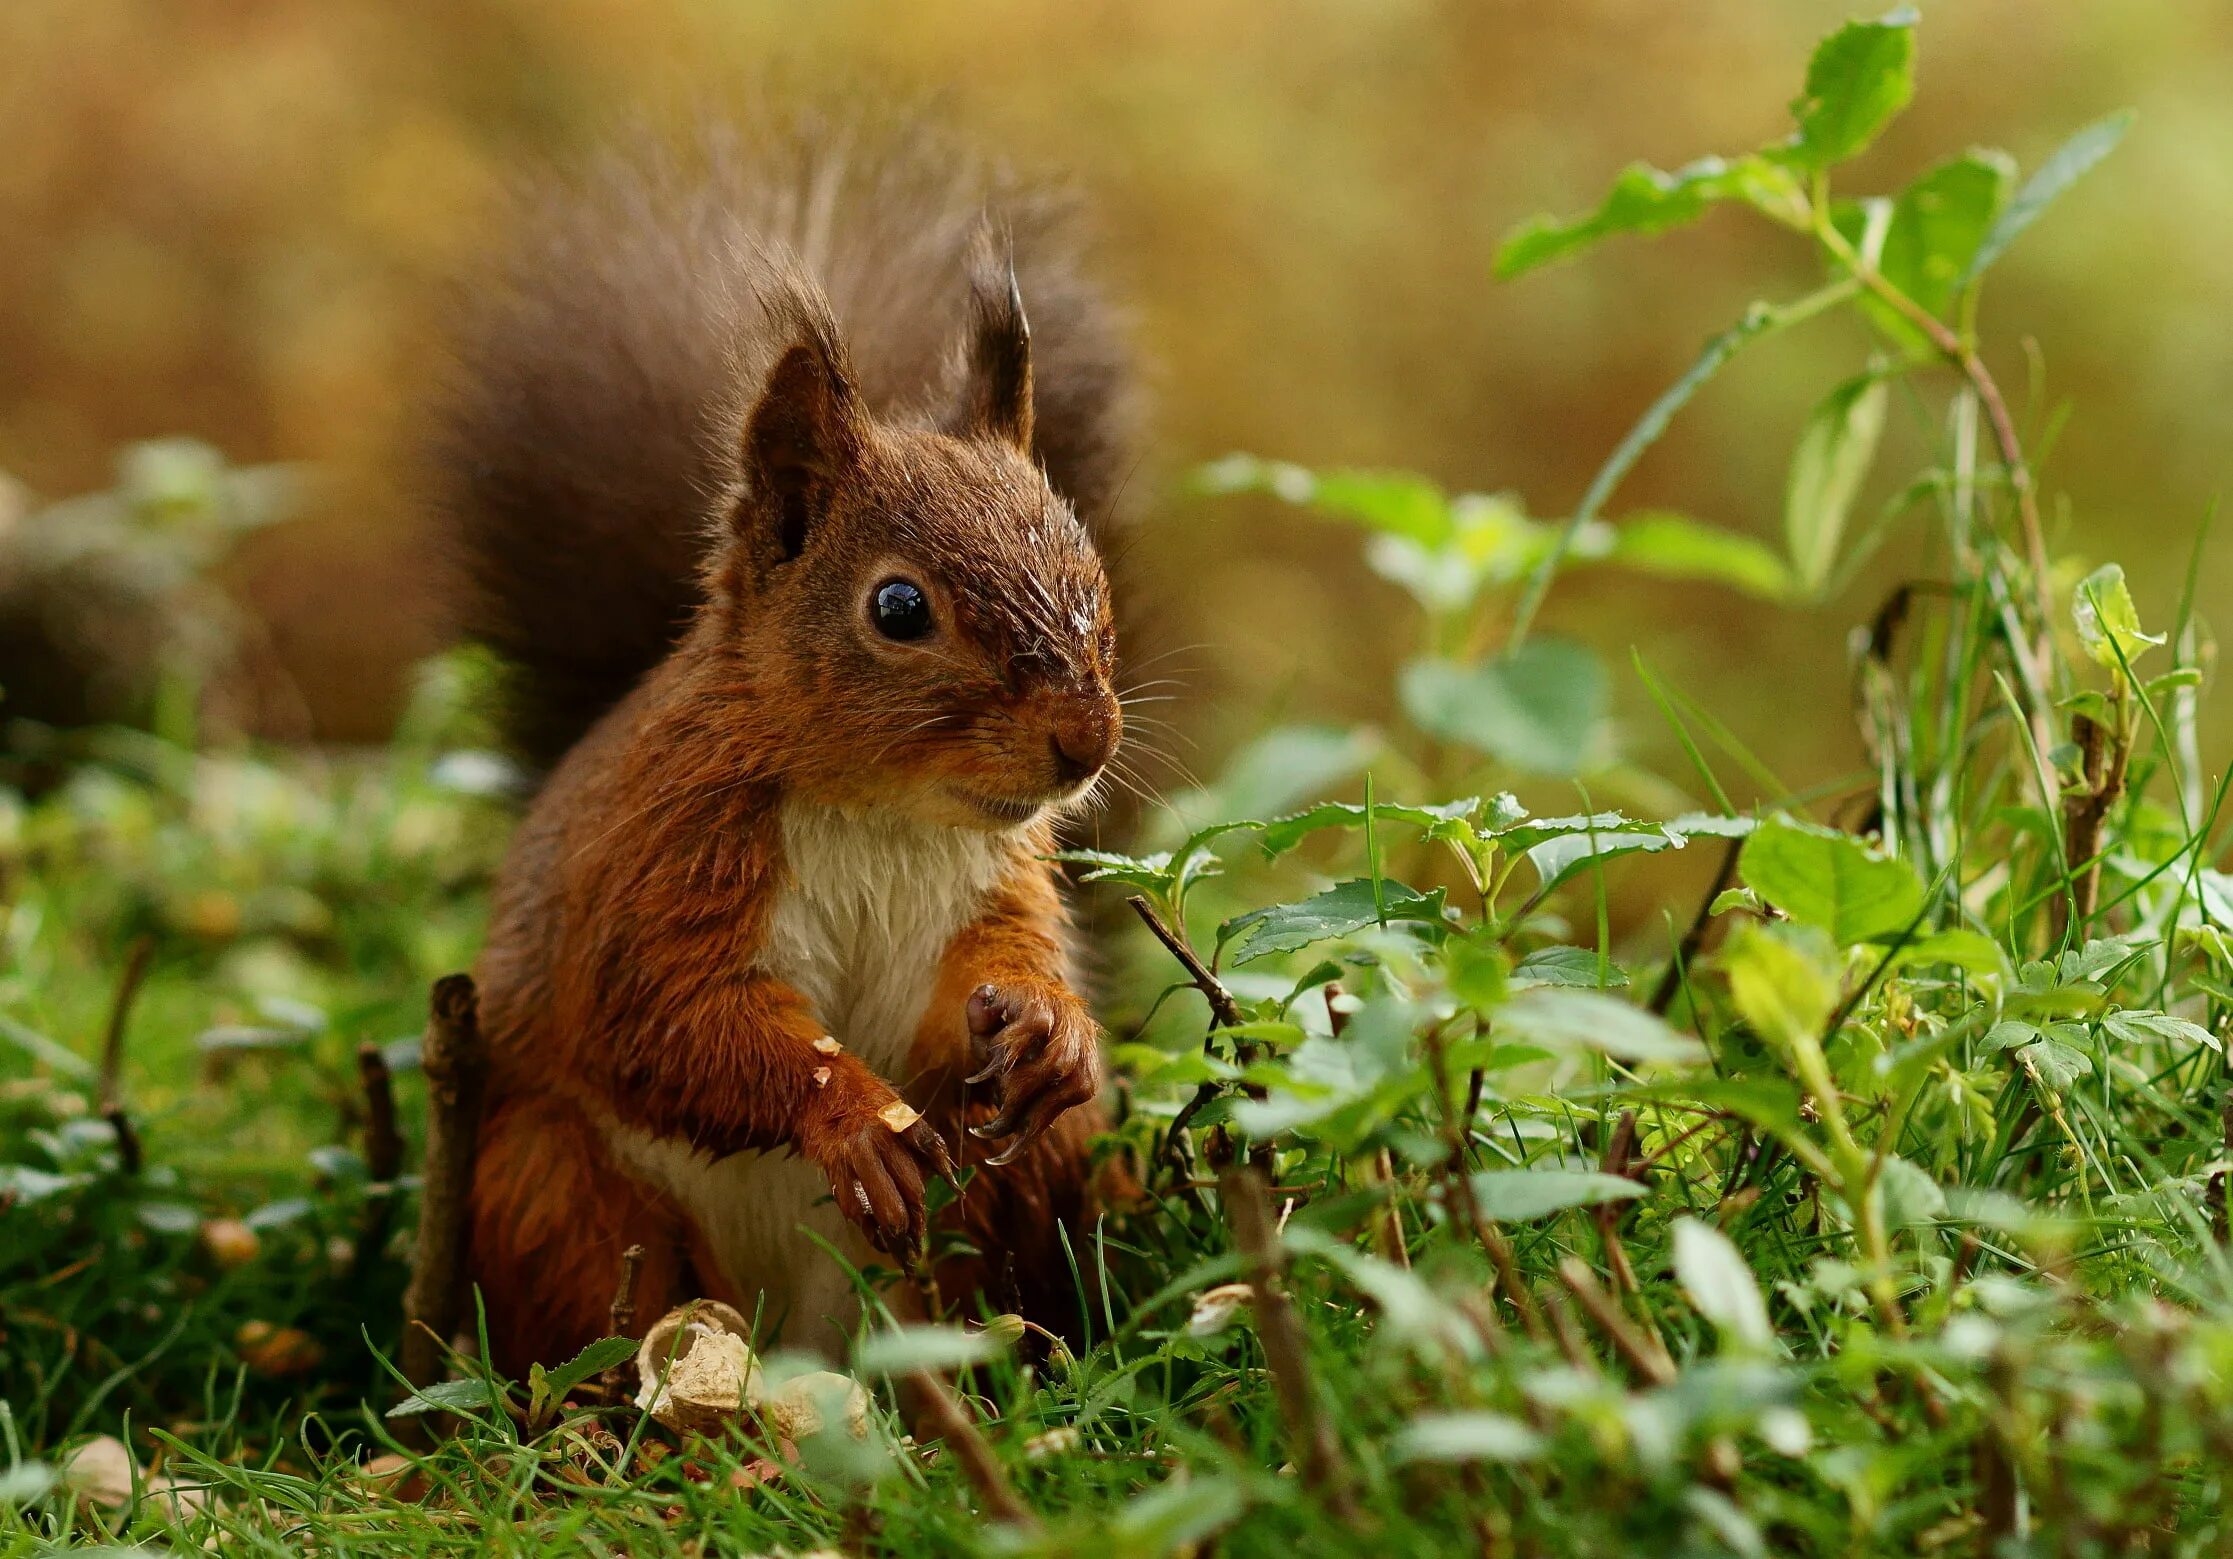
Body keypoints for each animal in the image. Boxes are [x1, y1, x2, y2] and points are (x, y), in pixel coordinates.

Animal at [428, 121, 1143, 1366]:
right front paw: (850, 1113)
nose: (1084, 740)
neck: (883, 812)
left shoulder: (995, 881)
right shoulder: (658, 866)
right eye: (898, 608)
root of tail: (798, 1328)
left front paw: (1051, 1027)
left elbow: (993, 974)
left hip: (1008, 1193)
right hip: (554, 1189)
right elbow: (675, 1022)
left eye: (1088, 579)